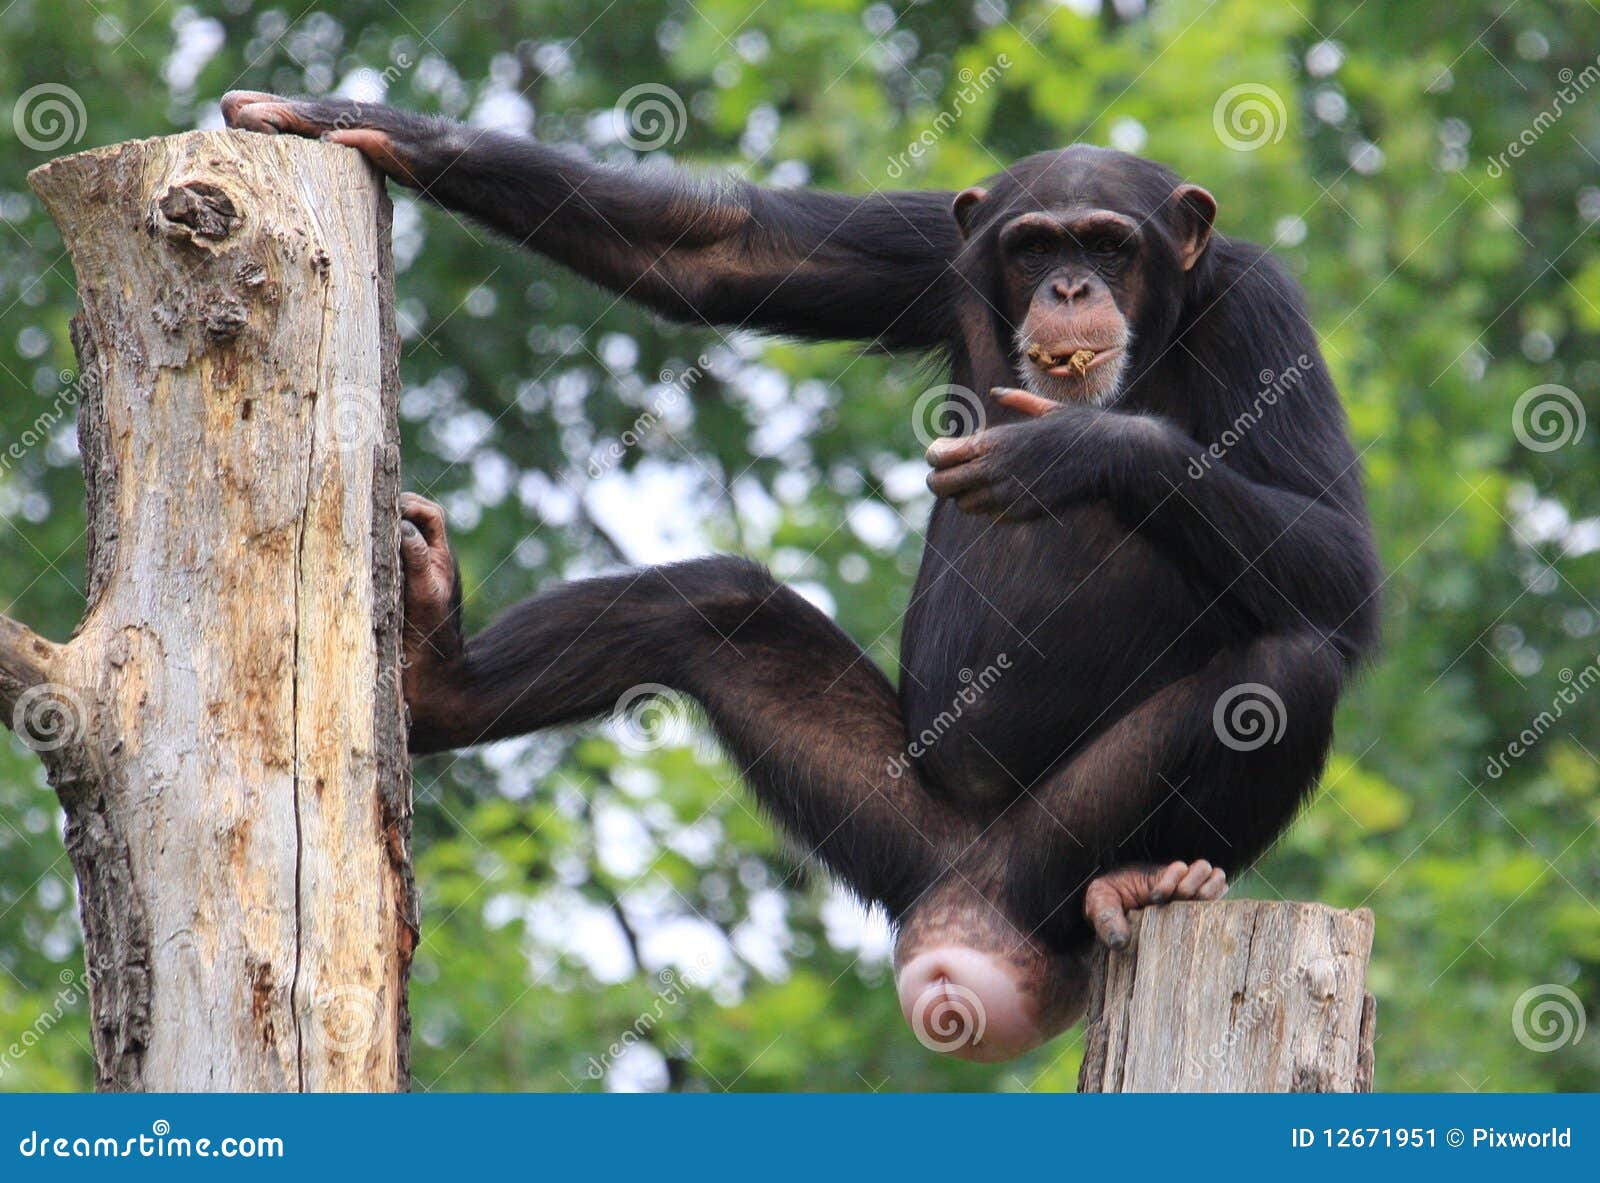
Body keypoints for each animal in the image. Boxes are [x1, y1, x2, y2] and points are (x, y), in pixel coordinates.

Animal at [219, 94, 1382, 1062]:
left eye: (1106, 240)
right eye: (1034, 244)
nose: (1069, 285)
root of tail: (963, 921)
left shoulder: (1264, 310)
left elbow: (1342, 563)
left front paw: (1072, 451)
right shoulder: (935, 248)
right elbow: (717, 255)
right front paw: (374, 125)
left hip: (1052, 849)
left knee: (1284, 664)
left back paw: (1153, 876)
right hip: (890, 826)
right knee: (711, 605)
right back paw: (439, 676)